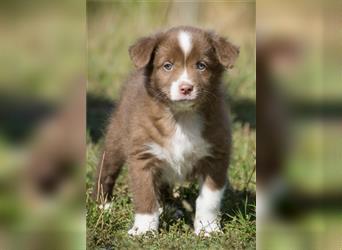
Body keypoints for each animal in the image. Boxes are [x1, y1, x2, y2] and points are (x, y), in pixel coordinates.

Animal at [92, 26, 239, 235]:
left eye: (201, 65)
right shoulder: (142, 155)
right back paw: (104, 205)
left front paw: (208, 229)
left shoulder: (216, 156)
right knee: (106, 170)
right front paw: (144, 230)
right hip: (116, 137)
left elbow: (209, 200)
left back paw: (168, 208)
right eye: (167, 66)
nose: (186, 88)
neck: (181, 117)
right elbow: (145, 195)